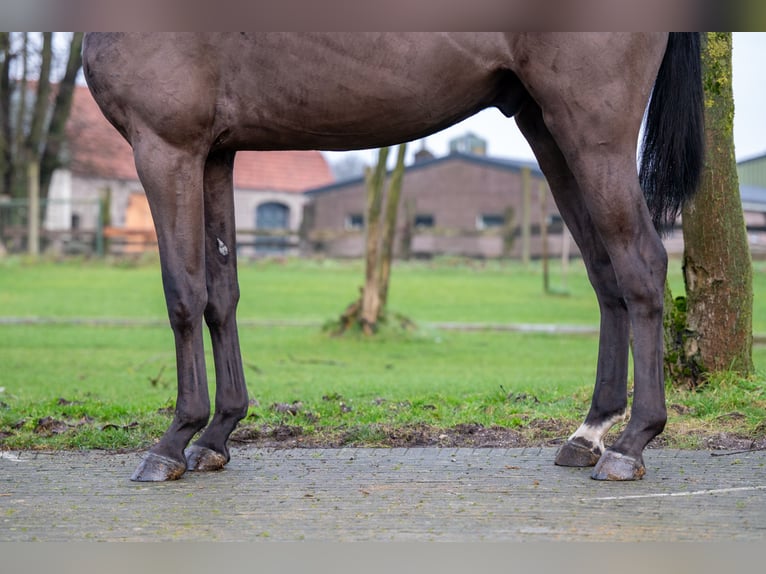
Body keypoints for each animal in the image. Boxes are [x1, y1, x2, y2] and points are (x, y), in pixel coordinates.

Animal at [82, 33, 704, 484]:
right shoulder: (215, 152)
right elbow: (221, 295)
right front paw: (216, 436)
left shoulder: (167, 146)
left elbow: (183, 294)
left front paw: (172, 442)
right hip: (548, 127)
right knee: (605, 274)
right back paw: (589, 434)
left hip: (593, 132)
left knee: (641, 263)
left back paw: (630, 445)